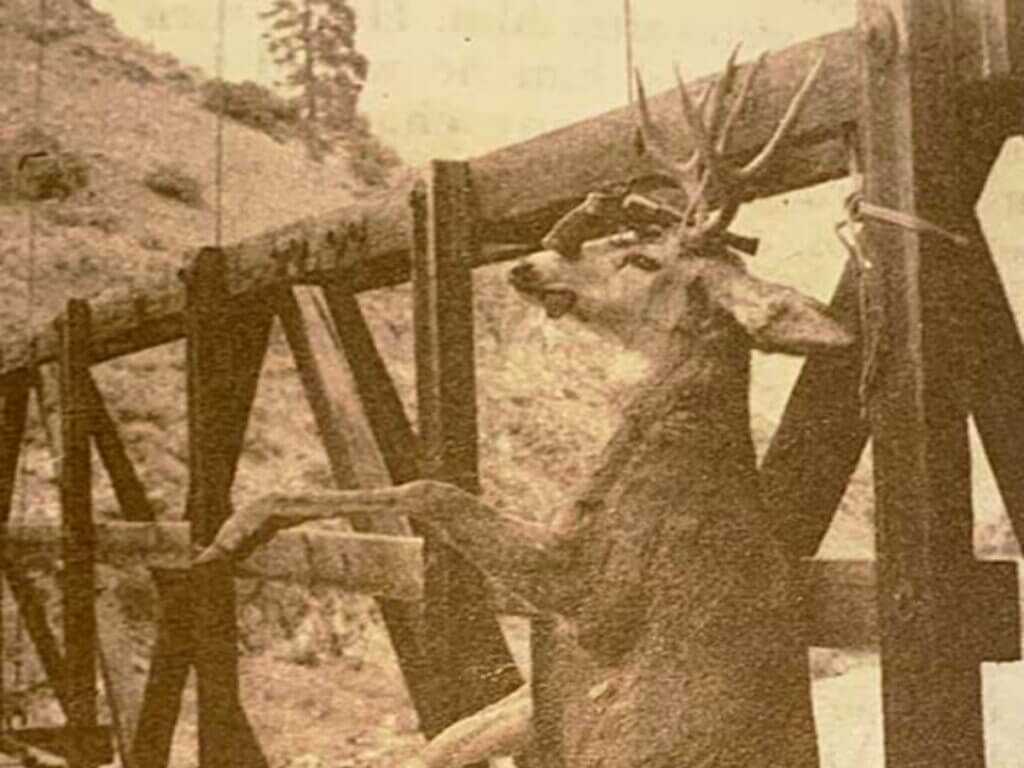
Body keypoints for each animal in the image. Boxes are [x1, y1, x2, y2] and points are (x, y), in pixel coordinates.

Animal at [196, 46, 851, 768]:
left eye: (642, 259)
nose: (529, 265)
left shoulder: (590, 590)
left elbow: (431, 490)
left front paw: (240, 526)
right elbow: (447, 737)